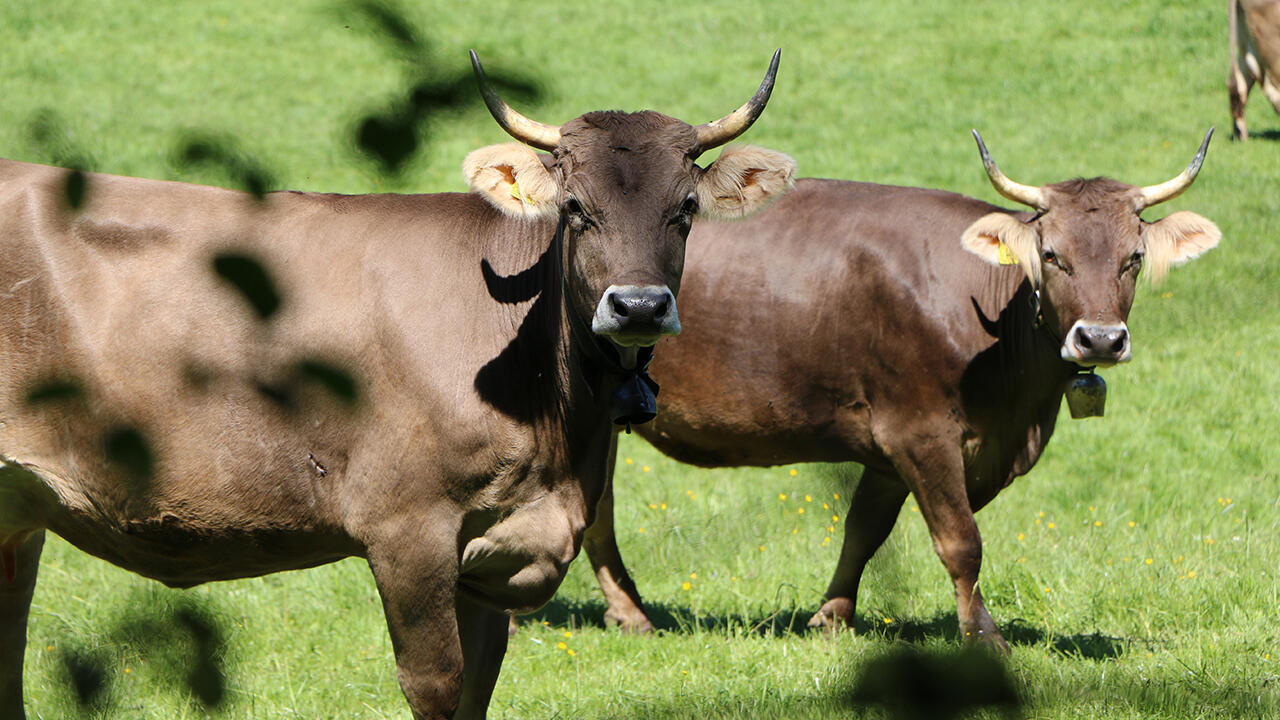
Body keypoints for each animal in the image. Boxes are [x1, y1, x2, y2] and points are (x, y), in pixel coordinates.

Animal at [0, 51, 793, 717]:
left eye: (685, 208)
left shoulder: (496, 551)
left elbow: (478, 686)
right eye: (575, 209)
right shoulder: (408, 530)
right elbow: (436, 684)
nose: (638, 306)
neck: (558, 429)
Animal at [581, 128, 1218, 650]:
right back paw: (628, 611)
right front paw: (983, 637)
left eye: (1134, 257)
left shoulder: (887, 446)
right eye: (1051, 254)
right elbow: (961, 541)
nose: (1100, 339)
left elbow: (864, 530)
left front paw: (832, 618)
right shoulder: (920, 432)